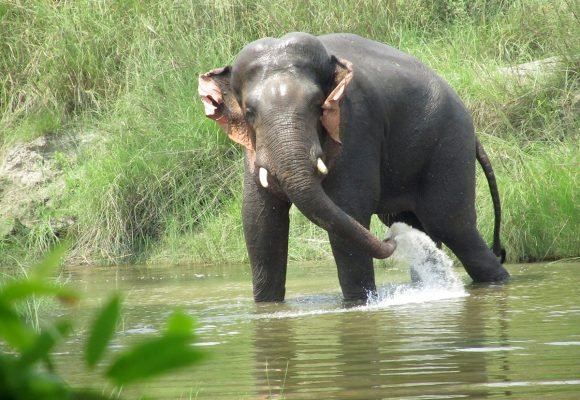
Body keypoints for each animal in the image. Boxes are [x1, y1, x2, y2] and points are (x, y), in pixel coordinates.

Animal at [199, 32, 508, 302]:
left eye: (318, 105)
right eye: (249, 112)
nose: (393, 239)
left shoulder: (356, 122)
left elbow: (350, 208)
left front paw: (359, 303)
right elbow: (259, 220)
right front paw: (267, 306)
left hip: (449, 145)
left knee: (453, 227)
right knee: (427, 228)